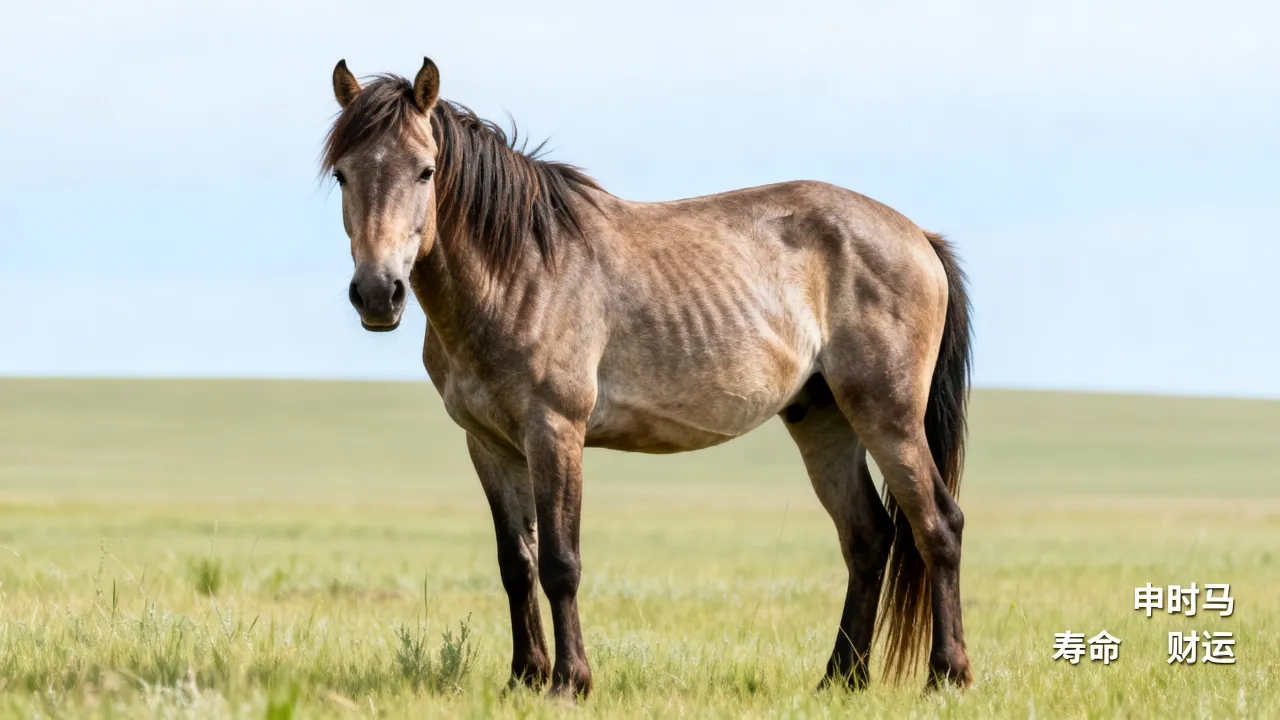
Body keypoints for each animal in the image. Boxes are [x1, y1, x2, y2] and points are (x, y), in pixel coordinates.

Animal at [321, 57, 973, 698]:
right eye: (343, 175)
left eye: (426, 171)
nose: (378, 293)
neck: (519, 270)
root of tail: (917, 236)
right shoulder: (489, 444)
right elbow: (518, 564)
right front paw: (524, 677)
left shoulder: (554, 431)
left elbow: (560, 562)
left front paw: (570, 682)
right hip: (823, 419)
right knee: (867, 538)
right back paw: (841, 679)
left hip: (887, 416)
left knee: (937, 526)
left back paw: (946, 675)